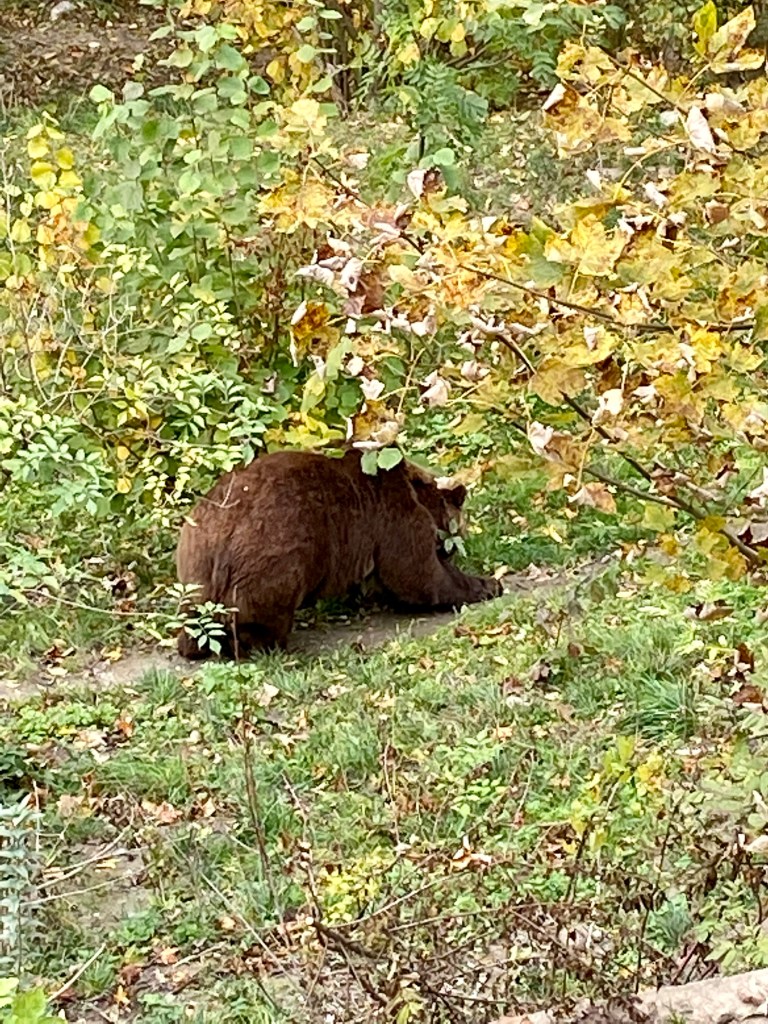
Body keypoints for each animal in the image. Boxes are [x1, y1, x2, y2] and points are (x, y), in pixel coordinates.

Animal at [175, 447, 501, 659]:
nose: (451, 550)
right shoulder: (396, 517)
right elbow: (417, 575)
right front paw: (488, 584)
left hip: (195, 559)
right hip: (276, 549)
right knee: (263, 607)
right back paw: (265, 644)